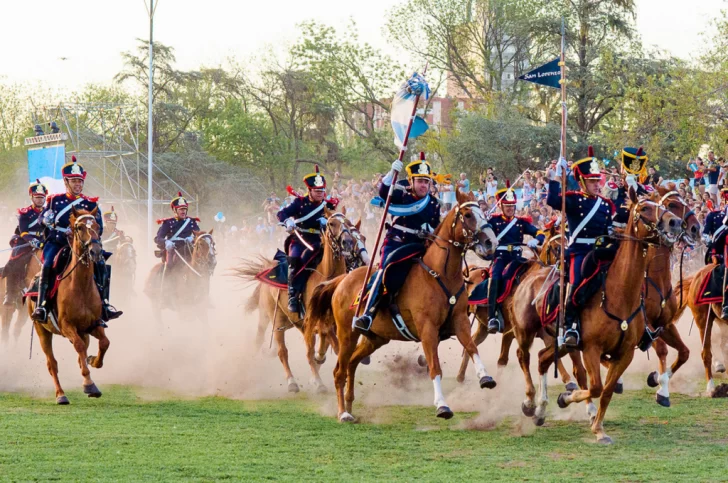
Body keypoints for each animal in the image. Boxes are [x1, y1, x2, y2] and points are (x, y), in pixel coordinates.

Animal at [26, 208, 111, 404]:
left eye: (97, 226)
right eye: (79, 227)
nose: (96, 252)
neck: (81, 286)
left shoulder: (93, 324)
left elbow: (104, 343)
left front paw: (94, 361)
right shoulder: (66, 326)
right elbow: (79, 347)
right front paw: (88, 384)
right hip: (42, 331)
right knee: (52, 363)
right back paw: (61, 395)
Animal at [233, 212, 358, 394]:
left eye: (348, 222)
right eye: (331, 223)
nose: (347, 242)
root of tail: (267, 267)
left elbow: (323, 345)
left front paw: (320, 362)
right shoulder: (315, 321)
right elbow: (318, 346)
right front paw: (318, 379)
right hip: (273, 319)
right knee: (279, 350)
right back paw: (290, 381)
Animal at [304, 199, 498, 422]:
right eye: (467, 215)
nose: (491, 242)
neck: (440, 274)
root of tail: (341, 280)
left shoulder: (460, 321)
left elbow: (472, 347)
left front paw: (485, 377)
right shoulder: (428, 330)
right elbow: (435, 367)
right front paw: (442, 405)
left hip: (375, 339)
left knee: (351, 364)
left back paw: (350, 405)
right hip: (347, 335)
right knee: (339, 371)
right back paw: (343, 412)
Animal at [512, 187, 684, 444]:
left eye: (664, 206)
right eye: (644, 208)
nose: (675, 223)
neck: (619, 293)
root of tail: (529, 276)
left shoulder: (625, 353)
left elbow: (607, 390)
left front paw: (599, 428)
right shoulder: (591, 349)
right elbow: (595, 387)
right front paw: (567, 400)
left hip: (560, 342)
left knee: (543, 359)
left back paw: (541, 410)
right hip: (526, 333)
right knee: (524, 357)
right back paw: (530, 402)